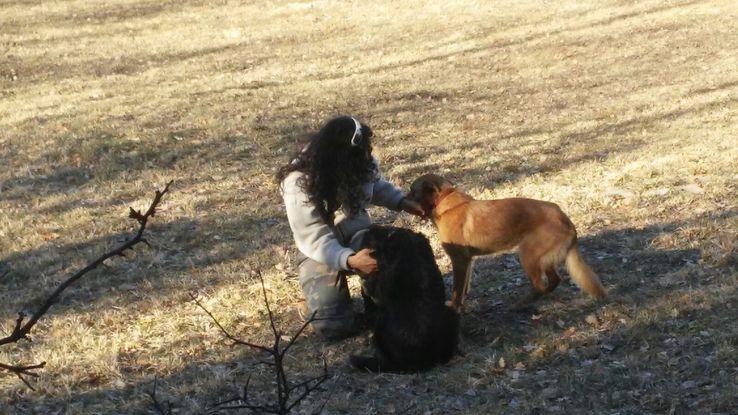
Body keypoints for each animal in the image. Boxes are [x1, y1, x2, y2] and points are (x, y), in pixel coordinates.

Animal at [408, 174, 604, 310]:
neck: (443, 200)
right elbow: (464, 289)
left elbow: (457, 289)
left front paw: (455, 308)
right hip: (542, 259)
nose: (403, 199)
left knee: (540, 285)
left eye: (412, 191)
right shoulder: (468, 261)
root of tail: (565, 219)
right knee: (554, 281)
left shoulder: (459, 260)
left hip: (527, 255)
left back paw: (522, 303)